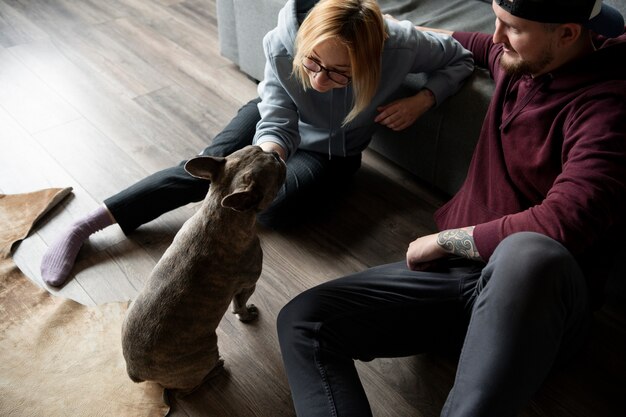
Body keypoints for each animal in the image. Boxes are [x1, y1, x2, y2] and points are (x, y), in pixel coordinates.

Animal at [120, 145, 286, 392]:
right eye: (275, 170)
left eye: (258, 148)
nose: (276, 153)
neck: (217, 213)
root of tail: (134, 372)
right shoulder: (248, 284)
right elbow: (240, 306)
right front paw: (247, 315)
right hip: (206, 352)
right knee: (189, 388)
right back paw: (215, 371)